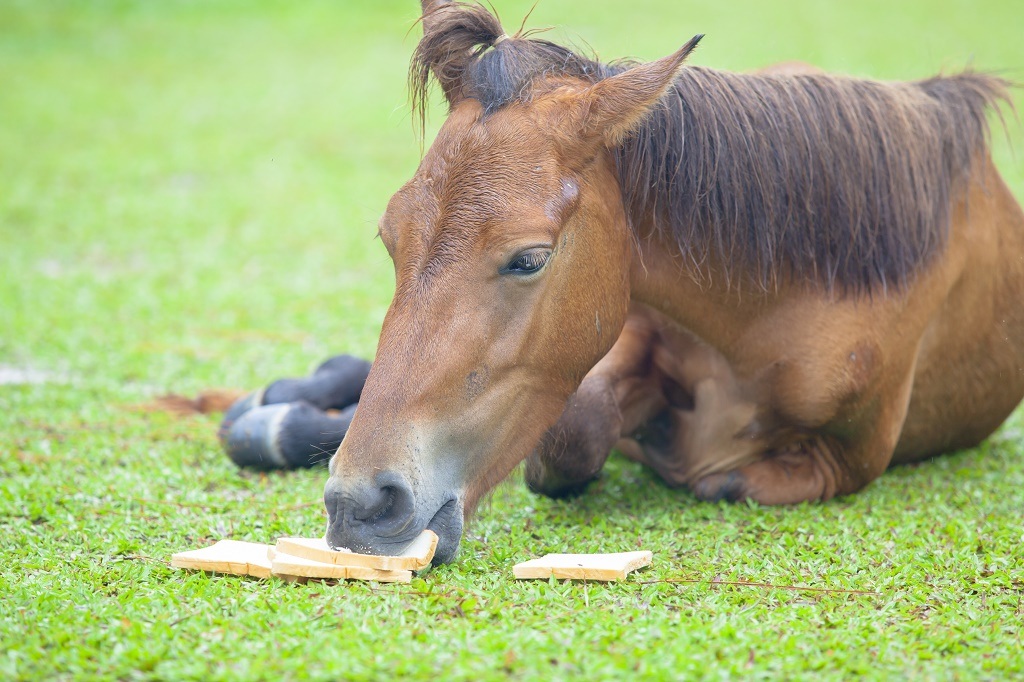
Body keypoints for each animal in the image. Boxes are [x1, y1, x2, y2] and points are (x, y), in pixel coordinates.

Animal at [268, 1, 1024, 564]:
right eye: (390, 238)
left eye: (530, 259)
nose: (359, 504)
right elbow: (573, 435)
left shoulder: (850, 460)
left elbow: (719, 479)